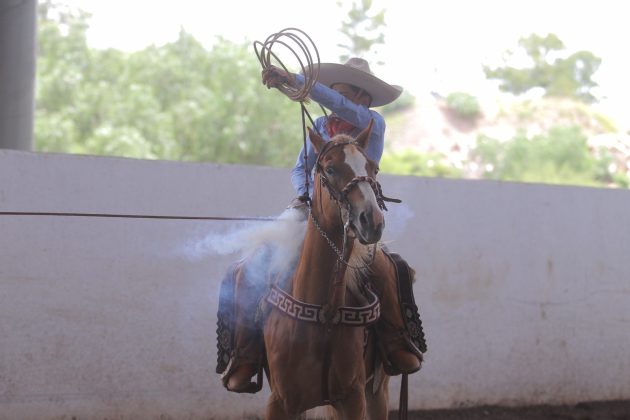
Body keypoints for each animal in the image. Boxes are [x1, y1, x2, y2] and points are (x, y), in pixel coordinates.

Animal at [262, 119, 400, 420]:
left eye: (373, 168)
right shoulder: (280, 401)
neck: (321, 315)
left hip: (378, 391)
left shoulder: (353, 398)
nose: (372, 221)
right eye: (330, 169)